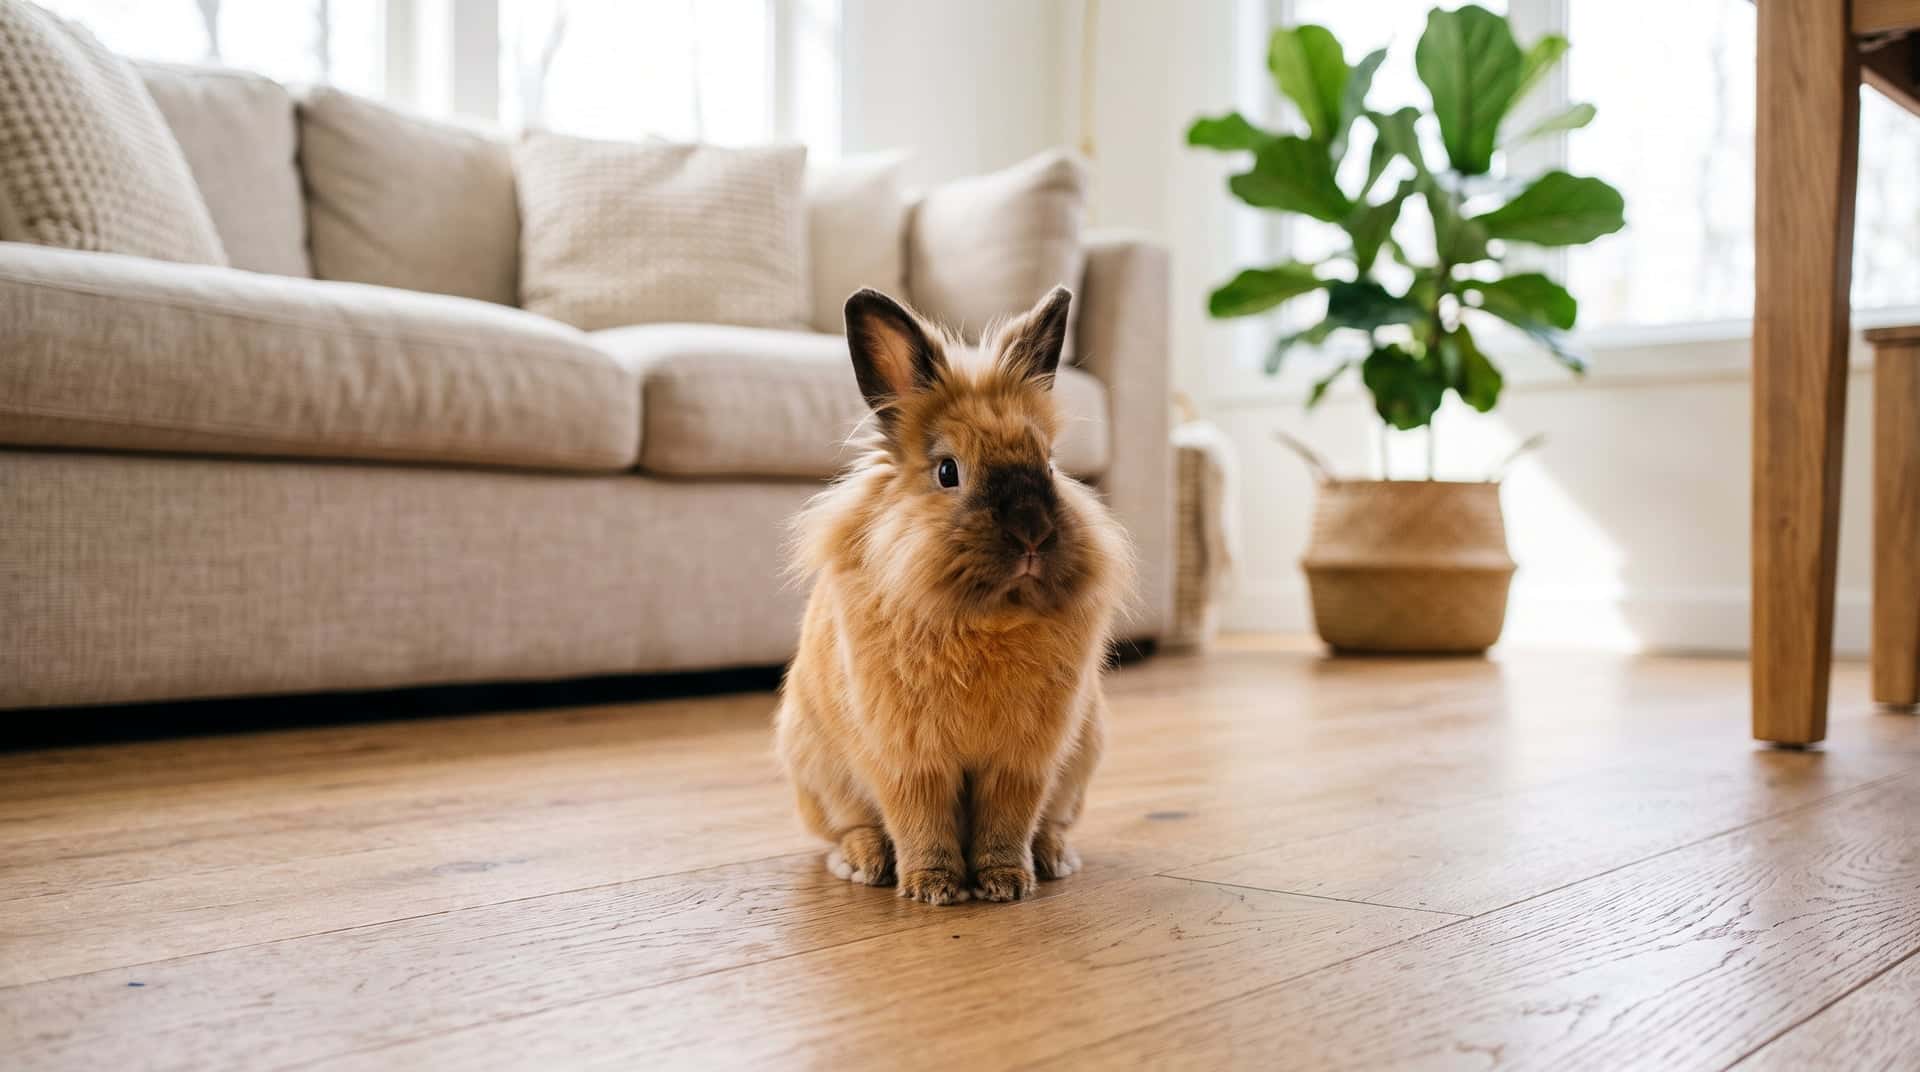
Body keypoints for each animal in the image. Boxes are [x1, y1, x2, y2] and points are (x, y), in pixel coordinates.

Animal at [775, 285, 1133, 906]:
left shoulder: (1023, 763)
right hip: (817, 771)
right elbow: (920, 822)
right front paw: (932, 889)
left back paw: (1054, 857)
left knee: (1051, 823)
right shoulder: (908, 761)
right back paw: (865, 862)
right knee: (849, 827)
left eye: (1049, 465)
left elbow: (1007, 823)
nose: (1033, 533)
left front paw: (1007, 885)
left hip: (1080, 763)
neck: (988, 619)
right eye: (948, 471)